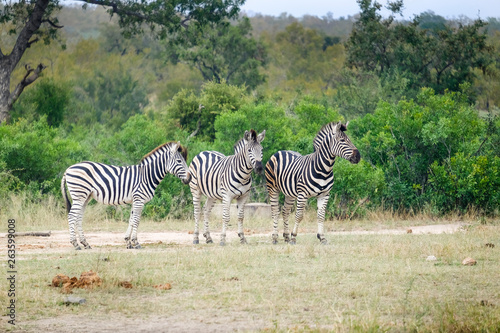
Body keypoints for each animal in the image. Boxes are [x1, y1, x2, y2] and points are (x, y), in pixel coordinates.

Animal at [59, 141, 191, 249]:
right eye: (179, 161)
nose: (189, 179)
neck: (147, 176)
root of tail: (68, 169)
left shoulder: (134, 200)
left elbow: (131, 220)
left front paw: (128, 242)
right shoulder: (139, 199)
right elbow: (136, 220)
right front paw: (136, 242)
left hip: (85, 197)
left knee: (78, 218)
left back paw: (85, 243)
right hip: (79, 195)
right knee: (71, 216)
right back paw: (75, 244)